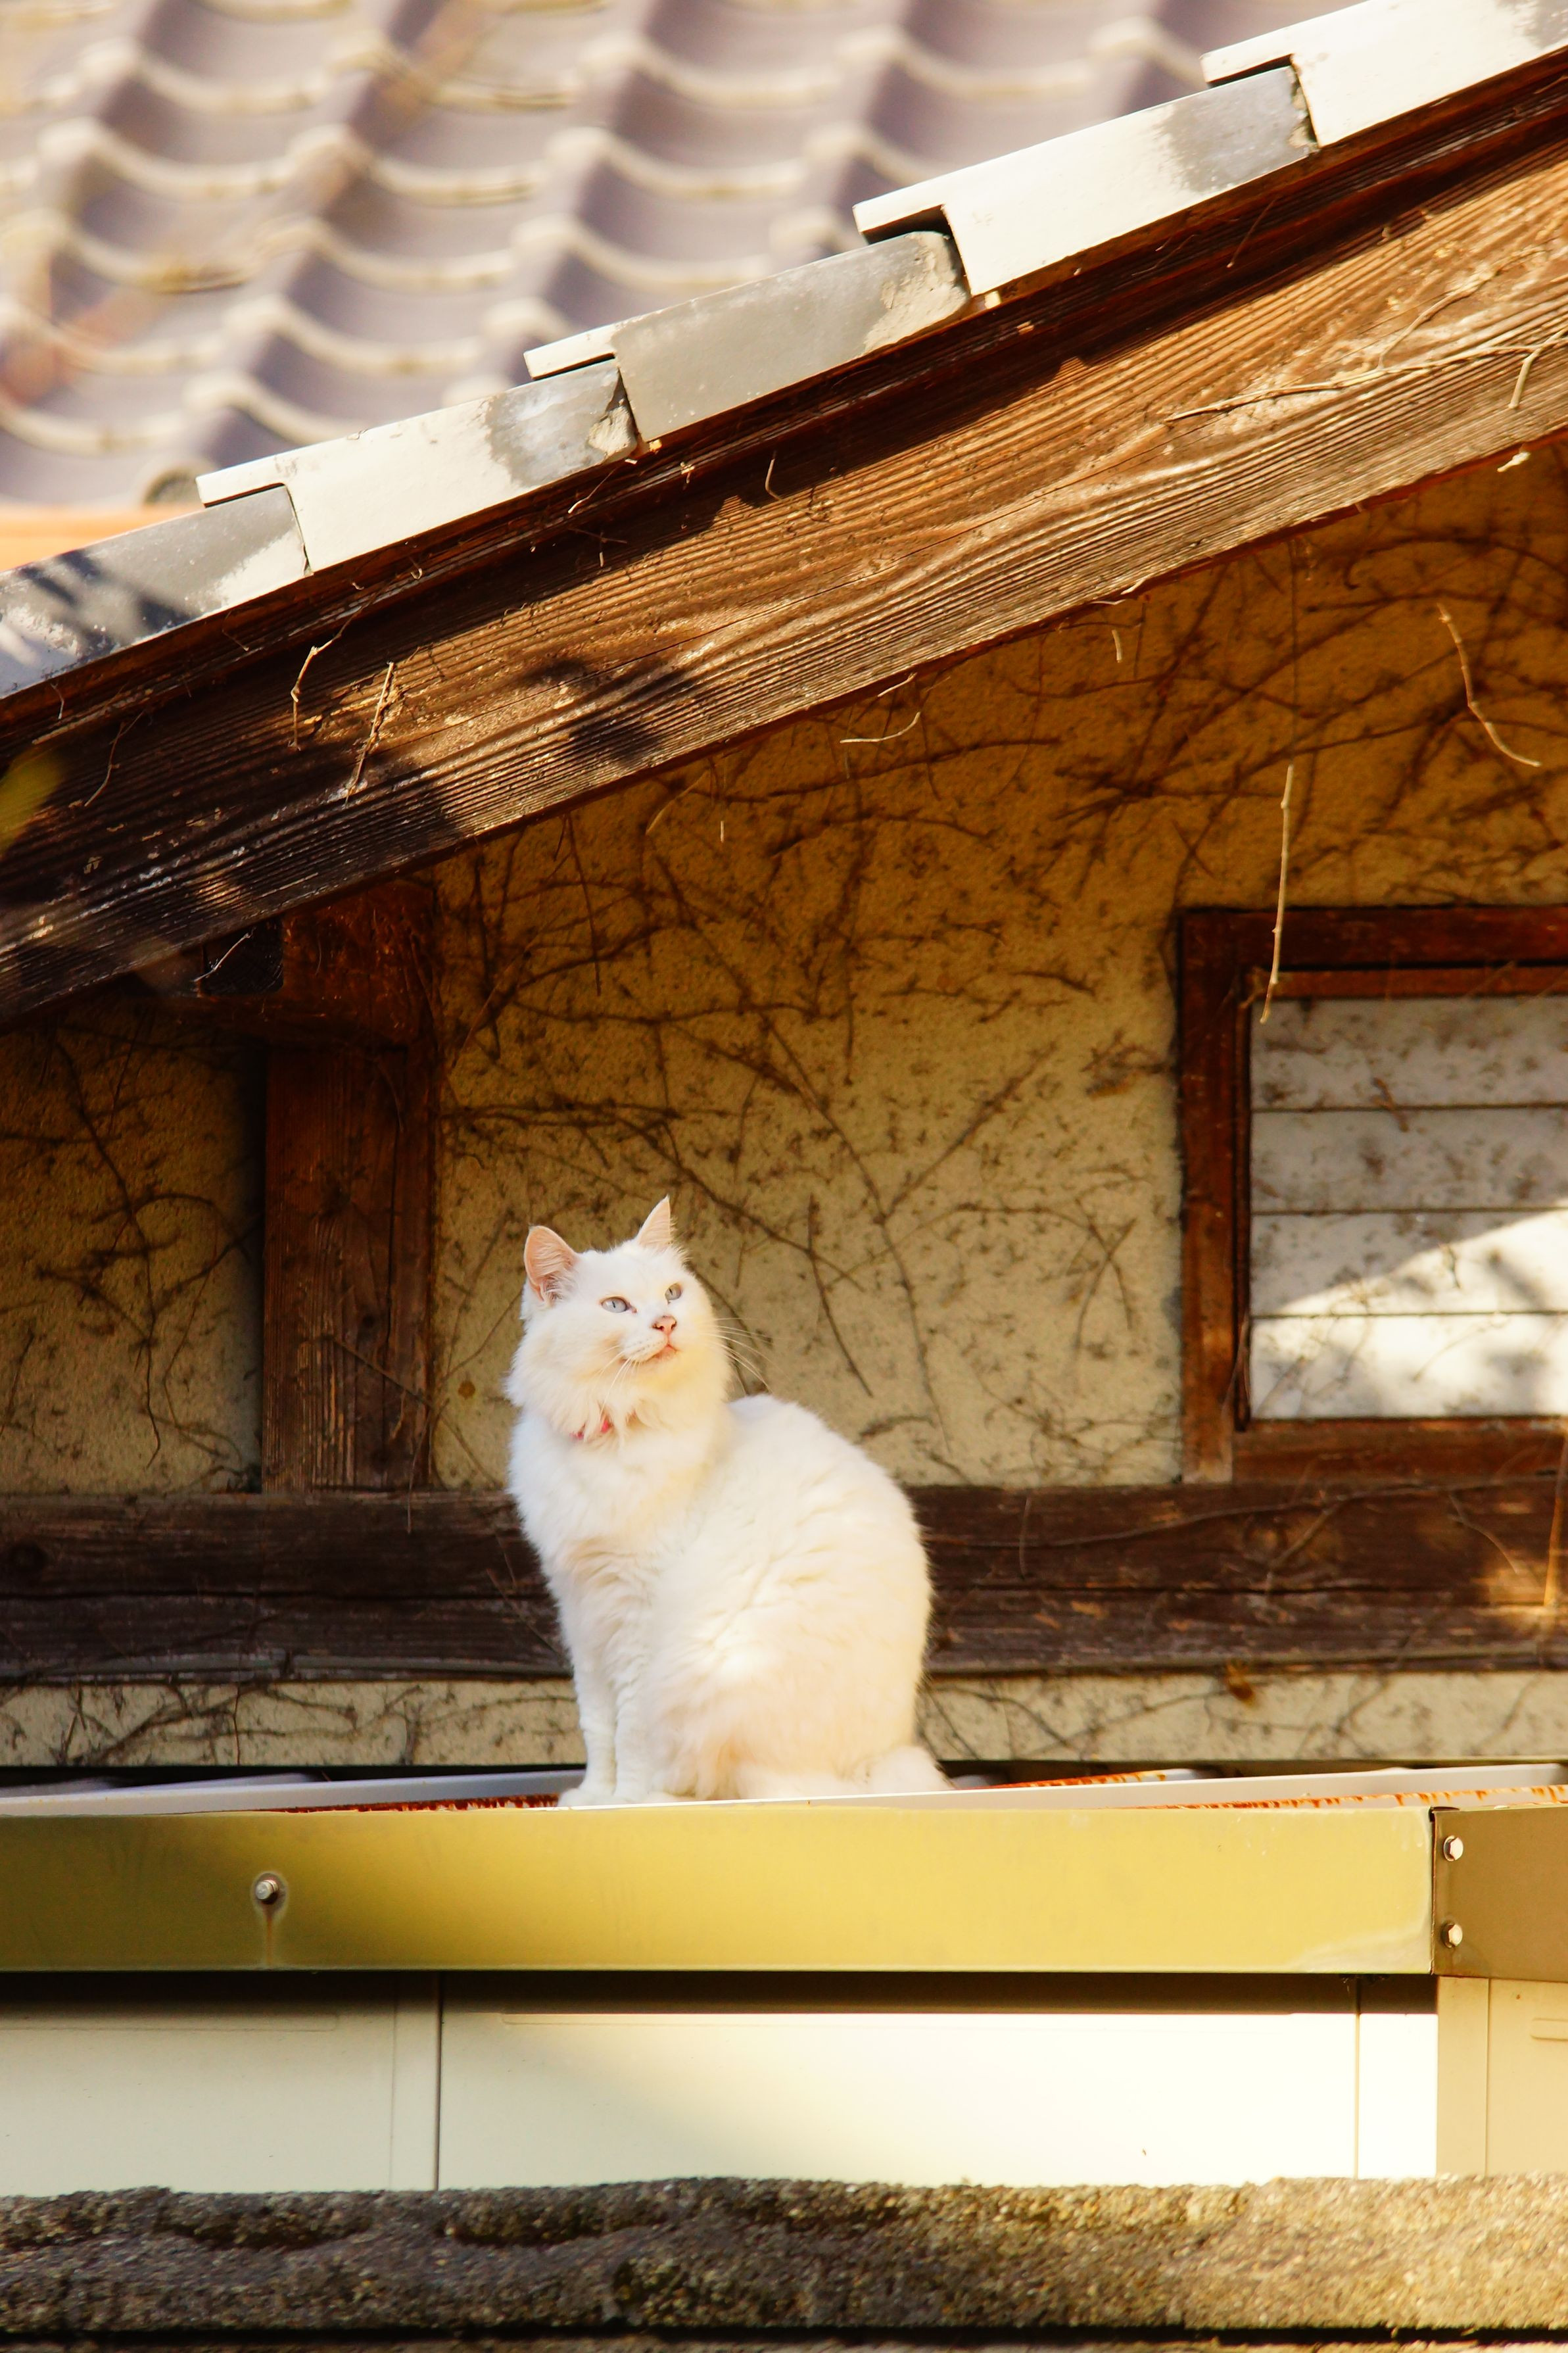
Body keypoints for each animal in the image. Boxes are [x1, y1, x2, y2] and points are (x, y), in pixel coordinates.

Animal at [503, 1198, 947, 1805]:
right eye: (616, 1306)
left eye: (672, 1294)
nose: (666, 1323)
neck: (614, 1433)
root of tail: (873, 1762)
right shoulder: (581, 1609)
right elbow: (597, 1727)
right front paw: (591, 1799)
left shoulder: (637, 1615)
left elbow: (630, 1730)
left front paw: (624, 1802)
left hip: (721, 1672)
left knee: (733, 1783)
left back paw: (661, 1798)